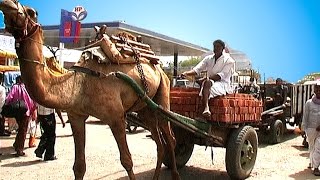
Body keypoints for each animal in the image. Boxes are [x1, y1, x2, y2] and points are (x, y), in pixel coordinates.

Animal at [0, 0, 180, 179]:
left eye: (31, 12)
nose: (7, 3)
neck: (79, 84)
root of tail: (161, 69)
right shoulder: (76, 116)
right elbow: (79, 166)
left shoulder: (116, 117)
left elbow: (127, 161)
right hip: (145, 108)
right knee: (159, 142)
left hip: (163, 93)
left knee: (170, 137)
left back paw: (175, 173)